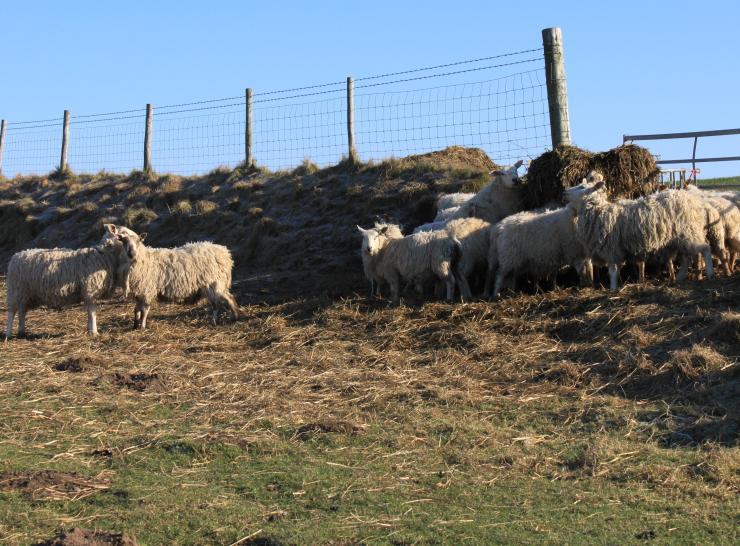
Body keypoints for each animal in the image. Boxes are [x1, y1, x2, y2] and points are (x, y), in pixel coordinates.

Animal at [108, 224, 240, 328]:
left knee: (218, 304)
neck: (142, 259)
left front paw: (142, 326)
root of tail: (225, 253)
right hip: (218, 284)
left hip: (213, 283)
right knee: (229, 298)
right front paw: (135, 325)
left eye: (138, 241)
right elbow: (136, 310)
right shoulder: (139, 292)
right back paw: (235, 317)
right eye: (123, 241)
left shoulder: (147, 290)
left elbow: (144, 310)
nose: (131, 253)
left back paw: (216, 320)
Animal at [564, 178, 712, 292]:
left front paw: (613, 290)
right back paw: (679, 278)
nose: (564, 191)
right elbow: (616, 270)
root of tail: (695, 201)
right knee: (686, 258)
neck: (598, 212)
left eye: (582, 187)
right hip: (682, 238)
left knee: (705, 248)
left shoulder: (611, 249)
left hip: (689, 232)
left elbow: (612, 271)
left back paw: (710, 273)